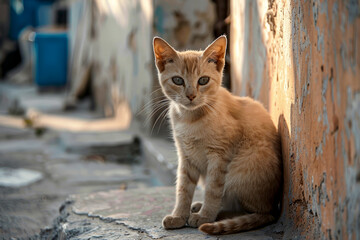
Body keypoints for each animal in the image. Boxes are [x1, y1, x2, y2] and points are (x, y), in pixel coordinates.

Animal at [152, 35, 282, 234]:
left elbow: (213, 190)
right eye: (178, 80)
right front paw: (179, 216)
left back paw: (212, 214)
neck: (190, 119)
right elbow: (183, 188)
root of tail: (274, 207)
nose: (191, 96)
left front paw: (205, 216)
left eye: (203, 80)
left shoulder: (219, 155)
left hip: (241, 169)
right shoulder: (186, 156)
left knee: (253, 212)